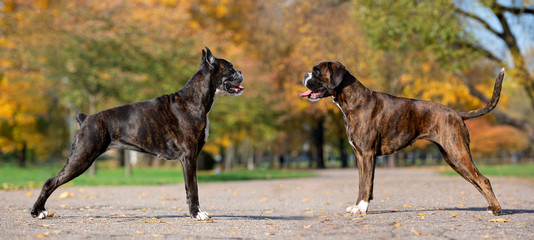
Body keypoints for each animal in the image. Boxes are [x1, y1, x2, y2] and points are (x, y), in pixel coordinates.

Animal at [31, 47, 245, 221]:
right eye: (231, 68)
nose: (241, 71)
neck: (194, 99)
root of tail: (87, 119)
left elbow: (189, 188)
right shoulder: (189, 157)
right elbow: (192, 188)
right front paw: (197, 214)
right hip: (82, 157)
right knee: (51, 182)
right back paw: (37, 211)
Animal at [302, 61, 506, 216]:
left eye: (317, 71)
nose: (305, 75)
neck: (354, 100)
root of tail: (456, 113)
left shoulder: (367, 155)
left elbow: (367, 183)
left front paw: (362, 208)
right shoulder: (359, 156)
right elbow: (362, 183)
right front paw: (357, 206)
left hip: (458, 153)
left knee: (483, 180)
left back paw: (496, 209)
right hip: (453, 158)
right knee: (477, 181)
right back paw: (490, 206)